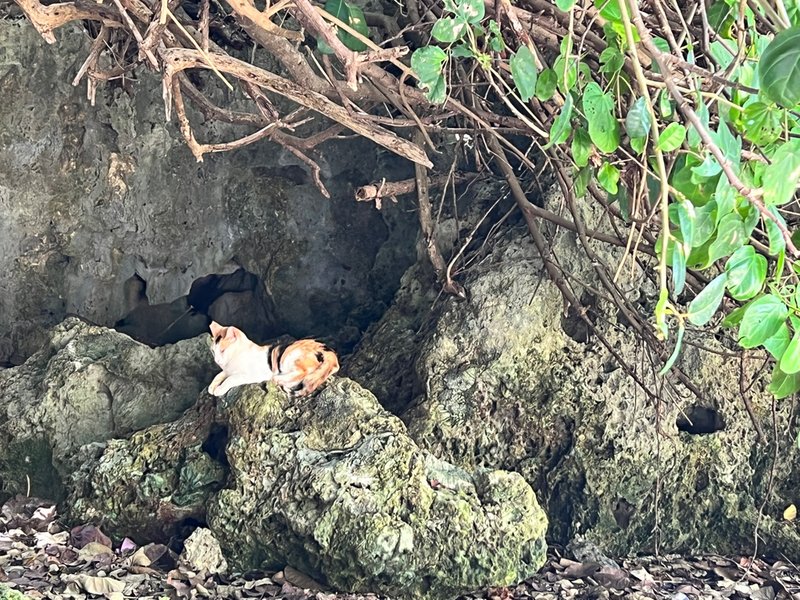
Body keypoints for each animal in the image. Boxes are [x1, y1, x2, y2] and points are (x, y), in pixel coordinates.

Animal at [206, 322, 338, 396]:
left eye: (222, 350)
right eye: (213, 351)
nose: (217, 360)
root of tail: (327, 349)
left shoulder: (250, 375)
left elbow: (230, 379)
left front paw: (218, 389)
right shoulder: (227, 370)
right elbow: (219, 375)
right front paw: (212, 387)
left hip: (289, 355)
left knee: (302, 373)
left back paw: (277, 378)